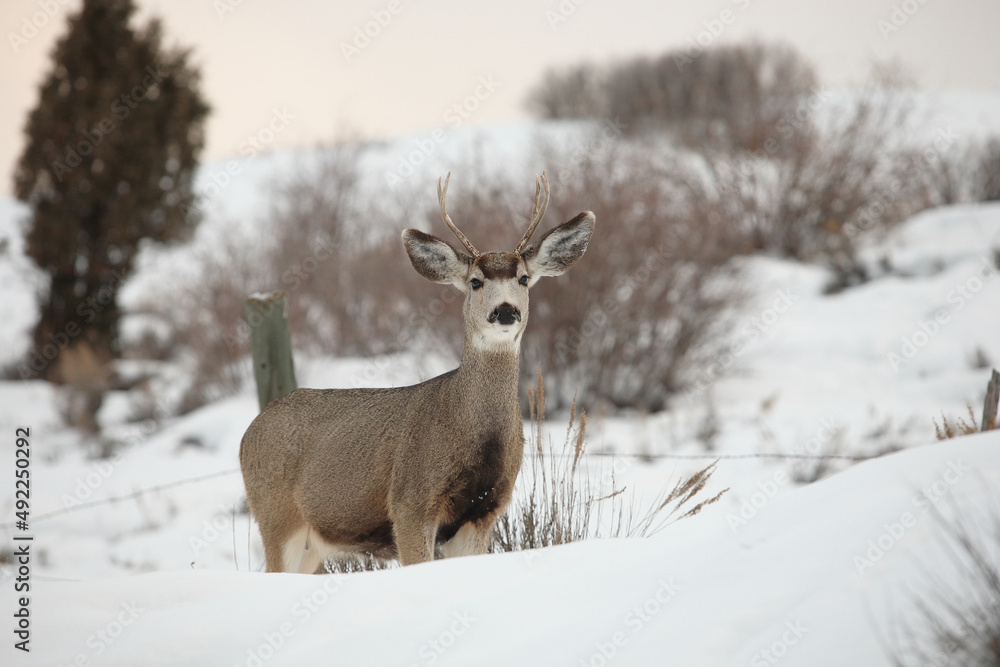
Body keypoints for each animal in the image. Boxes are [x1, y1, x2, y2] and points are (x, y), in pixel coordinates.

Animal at [239, 172, 595, 571]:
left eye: (522, 278)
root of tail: (248, 434)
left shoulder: (482, 513)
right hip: (276, 515)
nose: (505, 310)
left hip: (310, 544)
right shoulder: (410, 502)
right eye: (476, 281)